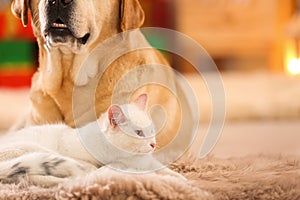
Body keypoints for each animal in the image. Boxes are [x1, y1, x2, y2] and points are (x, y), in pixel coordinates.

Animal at [0, 94, 185, 187]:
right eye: (139, 133)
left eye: (152, 130)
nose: (153, 144)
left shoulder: (150, 161)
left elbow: (168, 171)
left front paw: (182, 180)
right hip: (30, 149)